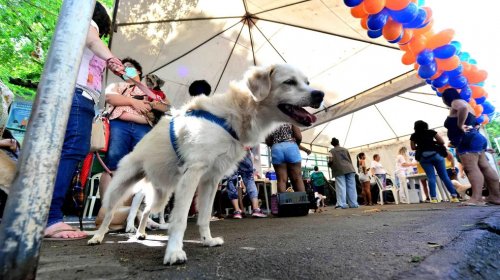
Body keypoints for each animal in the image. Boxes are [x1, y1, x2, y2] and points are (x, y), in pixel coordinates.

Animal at [88, 64, 324, 264]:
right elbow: (181, 219)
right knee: (110, 213)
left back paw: (141, 233)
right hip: (121, 185)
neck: (236, 114)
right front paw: (174, 252)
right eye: (289, 82)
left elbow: (203, 217)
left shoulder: (211, 180)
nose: (319, 94)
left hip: (163, 193)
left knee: (146, 211)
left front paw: (207, 240)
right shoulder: (193, 172)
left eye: (307, 81)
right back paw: (98, 236)